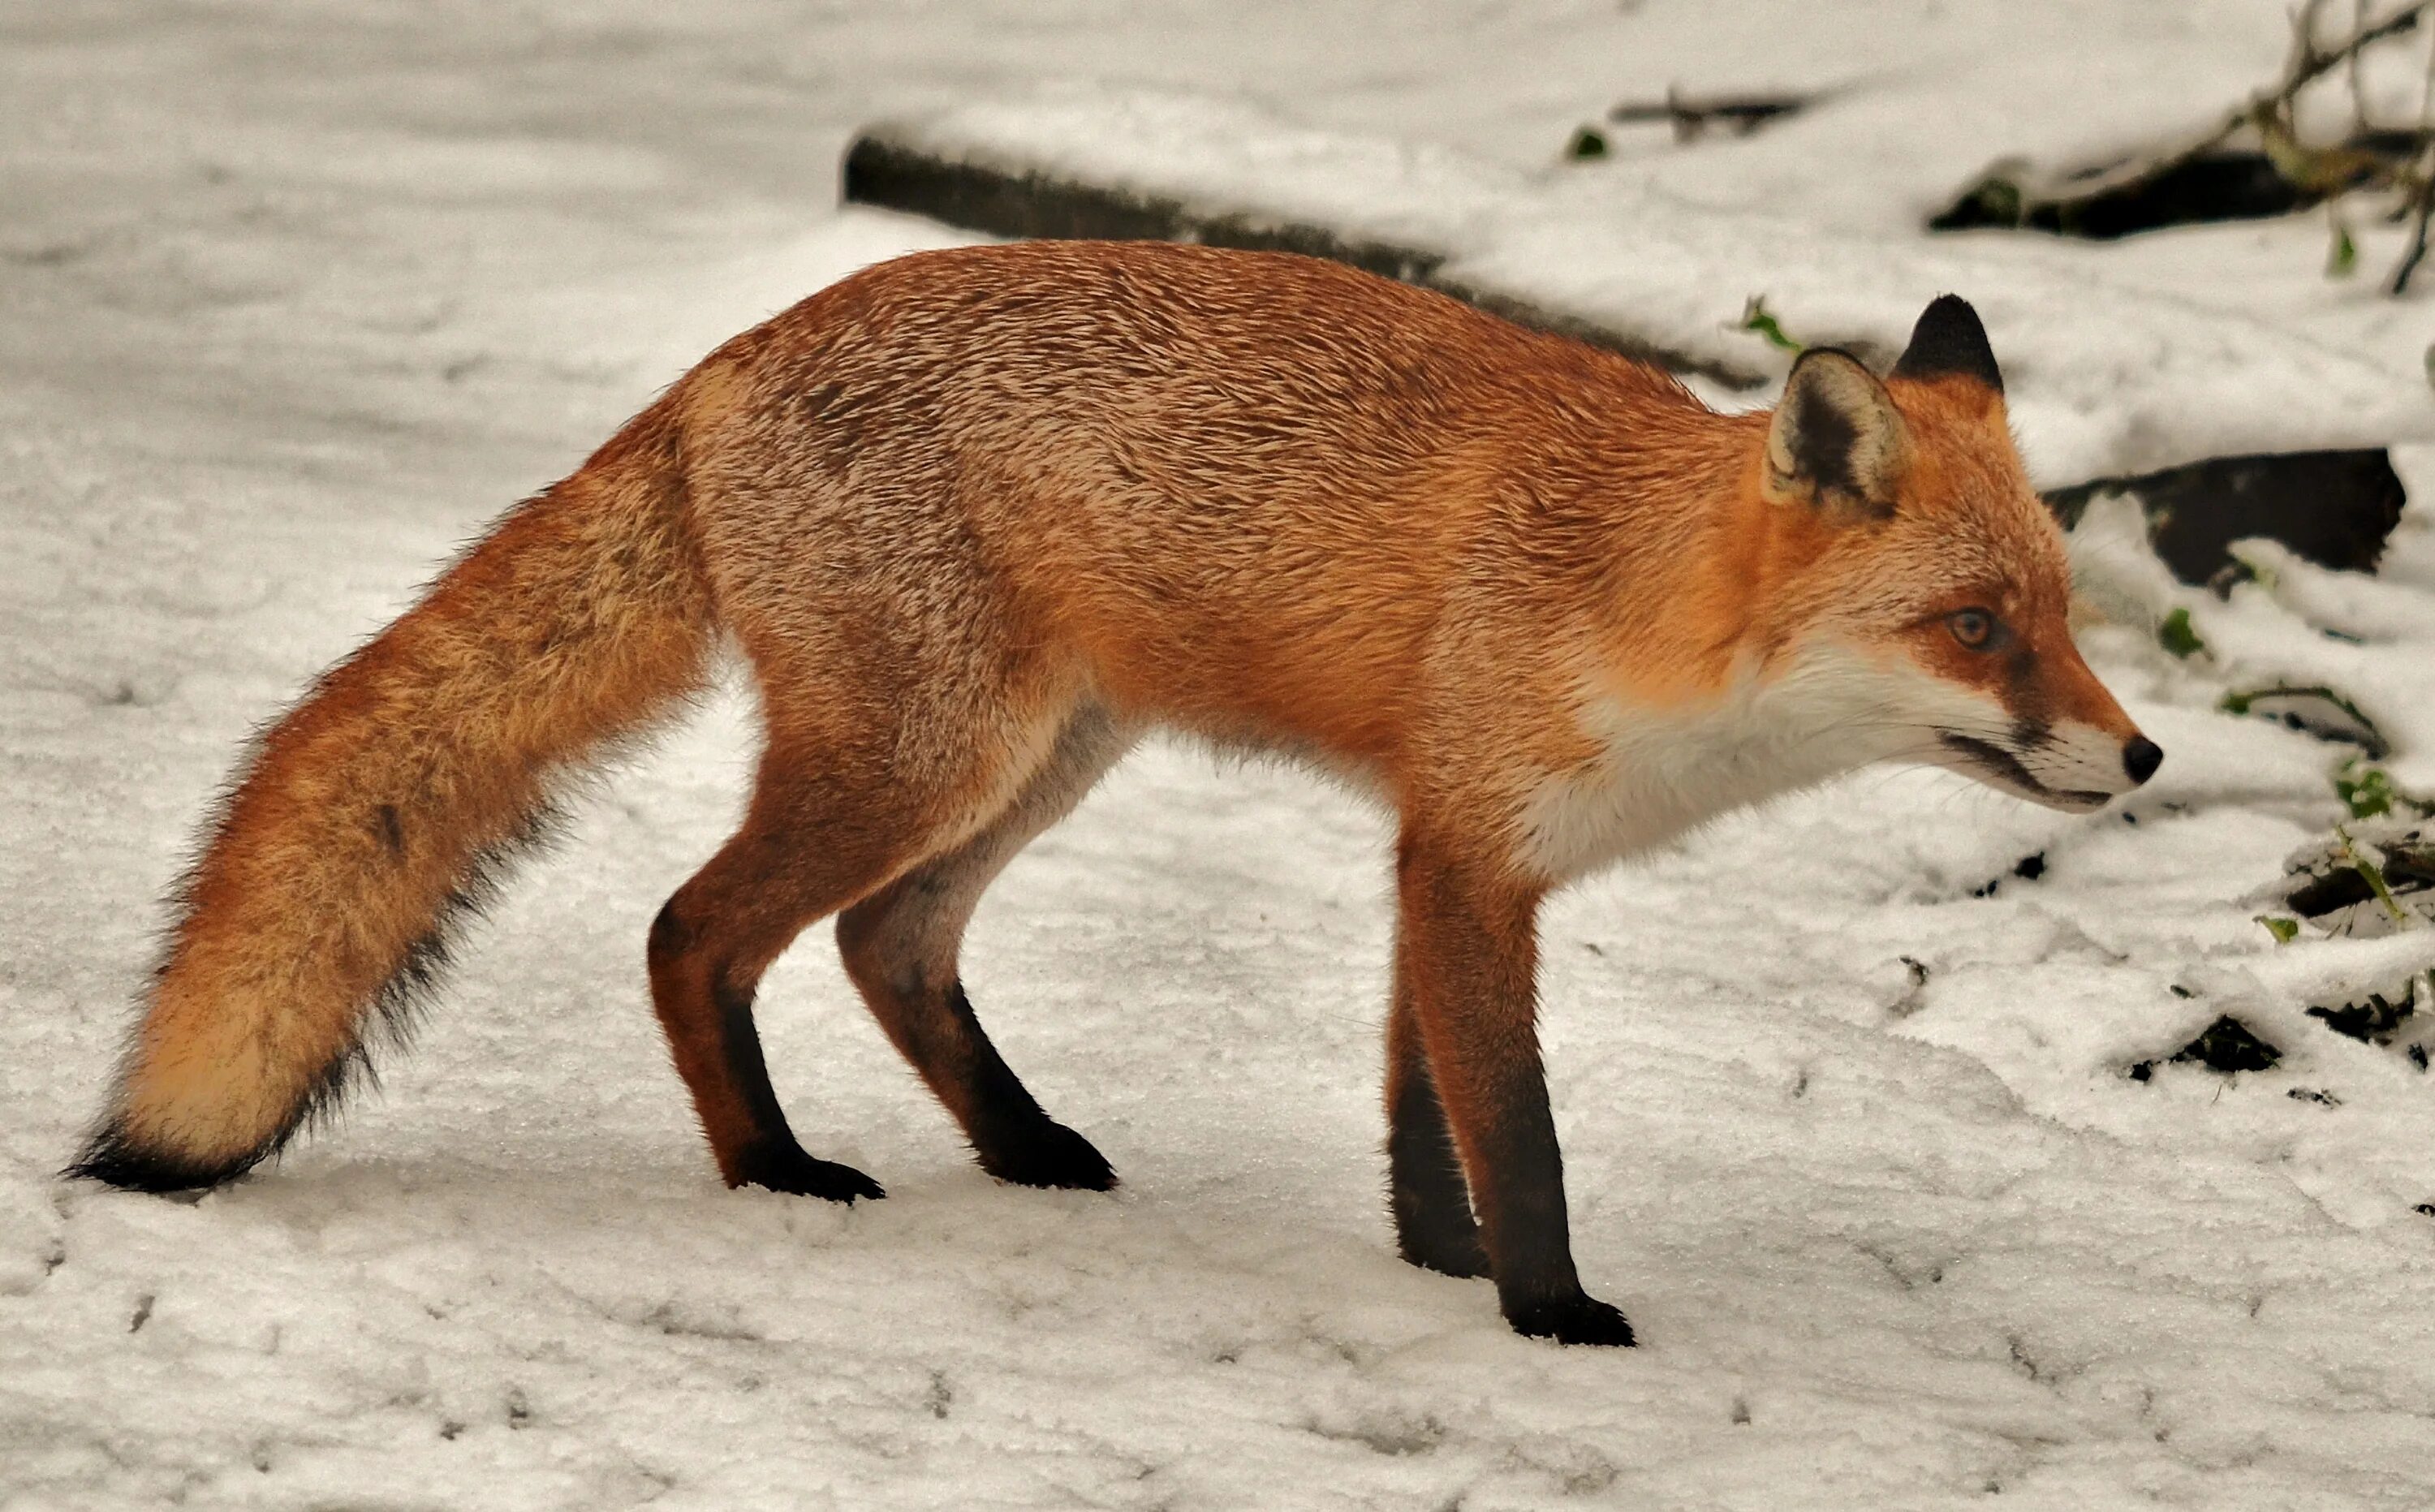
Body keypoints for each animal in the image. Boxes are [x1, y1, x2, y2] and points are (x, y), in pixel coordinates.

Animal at [67, 239, 2162, 1344]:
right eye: (1975, 628)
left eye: (2062, 617)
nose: (2141, 754)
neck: (1631, 605)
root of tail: (726, 357)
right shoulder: (1472, 855)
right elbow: (1522, 1126)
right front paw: (1549, 1313)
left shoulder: (1440, 854)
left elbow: (1425, 1118)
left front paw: (1444, 1272)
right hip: (923, 756)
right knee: (693, 932)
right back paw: (773, 1171)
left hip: (1029, 761)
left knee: (882, 945)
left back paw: (1019, 1143)